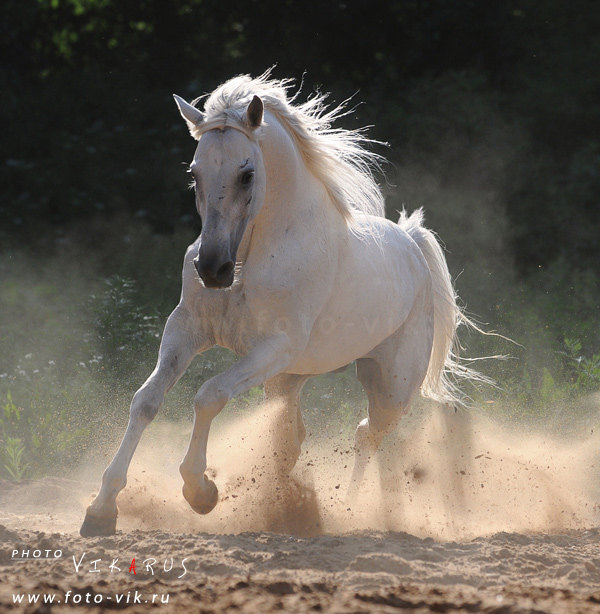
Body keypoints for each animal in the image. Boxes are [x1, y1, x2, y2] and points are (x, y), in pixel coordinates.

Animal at [81, 71, 478, 536]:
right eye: (194, 173)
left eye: (247, 174)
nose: (212, 269)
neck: (251, 256)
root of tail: (413, 242)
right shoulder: (186, 328)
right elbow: (146, 400)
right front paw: (101, 508)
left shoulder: (274, 348)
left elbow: (208, 395)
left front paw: (201, 491)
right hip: (289, 380)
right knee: (299, 438)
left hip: (390, 385)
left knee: (367, 434)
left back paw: (352, 511)